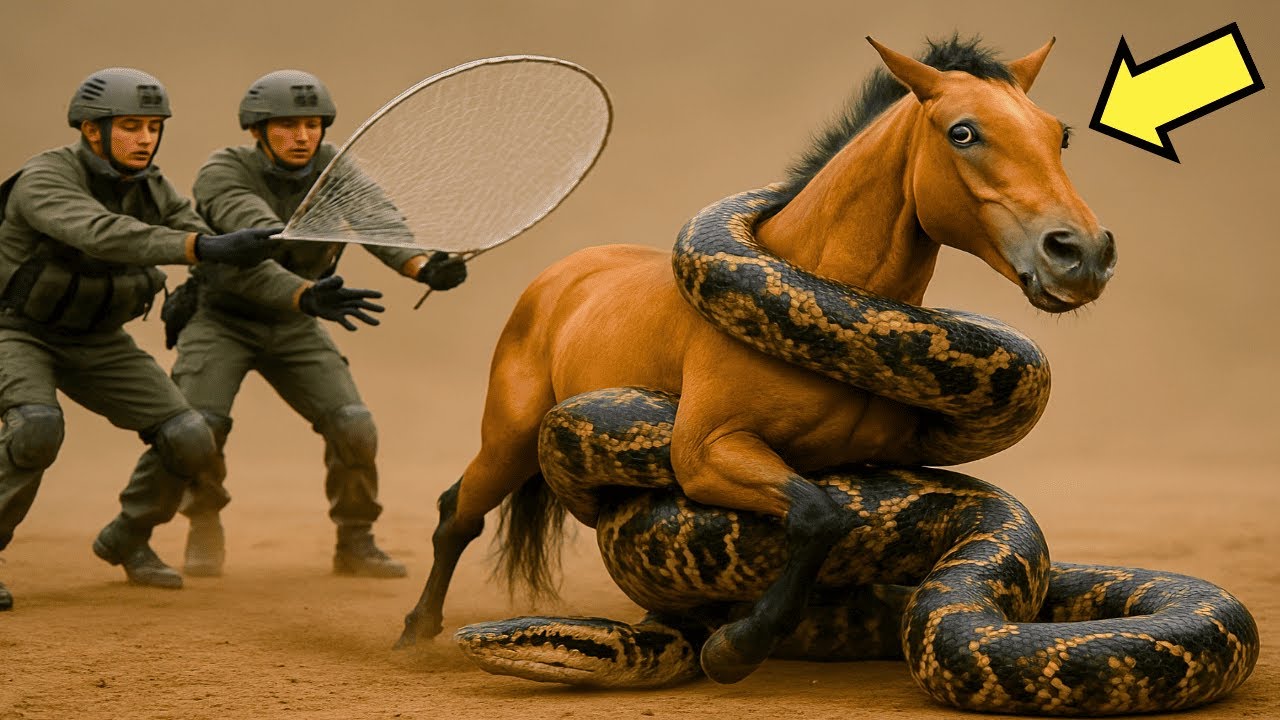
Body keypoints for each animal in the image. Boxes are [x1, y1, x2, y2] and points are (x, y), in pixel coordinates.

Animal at [398, 34, 1116, 686]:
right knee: (456, 513)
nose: (1081, 252)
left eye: (1060, 135)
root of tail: (566, 272)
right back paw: (415, 633)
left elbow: (834, 522)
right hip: (511, 437)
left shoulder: (871, 470)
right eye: (963, 132)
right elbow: (818, 515)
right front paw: (737, 646)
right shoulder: (704, 454)